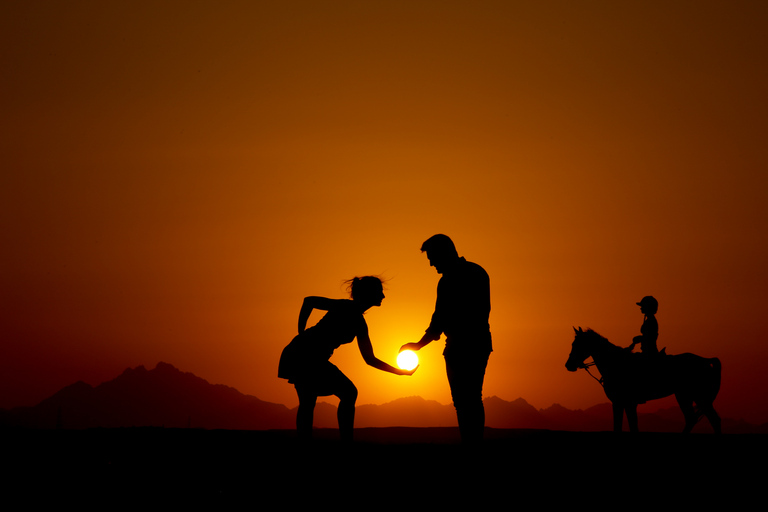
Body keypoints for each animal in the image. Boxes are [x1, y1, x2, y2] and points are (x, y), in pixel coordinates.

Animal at [564, 328, 720, 432]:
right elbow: (624, 426)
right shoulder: (622, 403)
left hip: (697, 396)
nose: (568, 365)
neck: (616, 364)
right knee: (694, 419)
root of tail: (706, 360)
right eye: (573, 344)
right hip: (686, 396)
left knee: (711, 419)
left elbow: (630, 427)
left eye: (577, 344)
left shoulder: (625, 402)